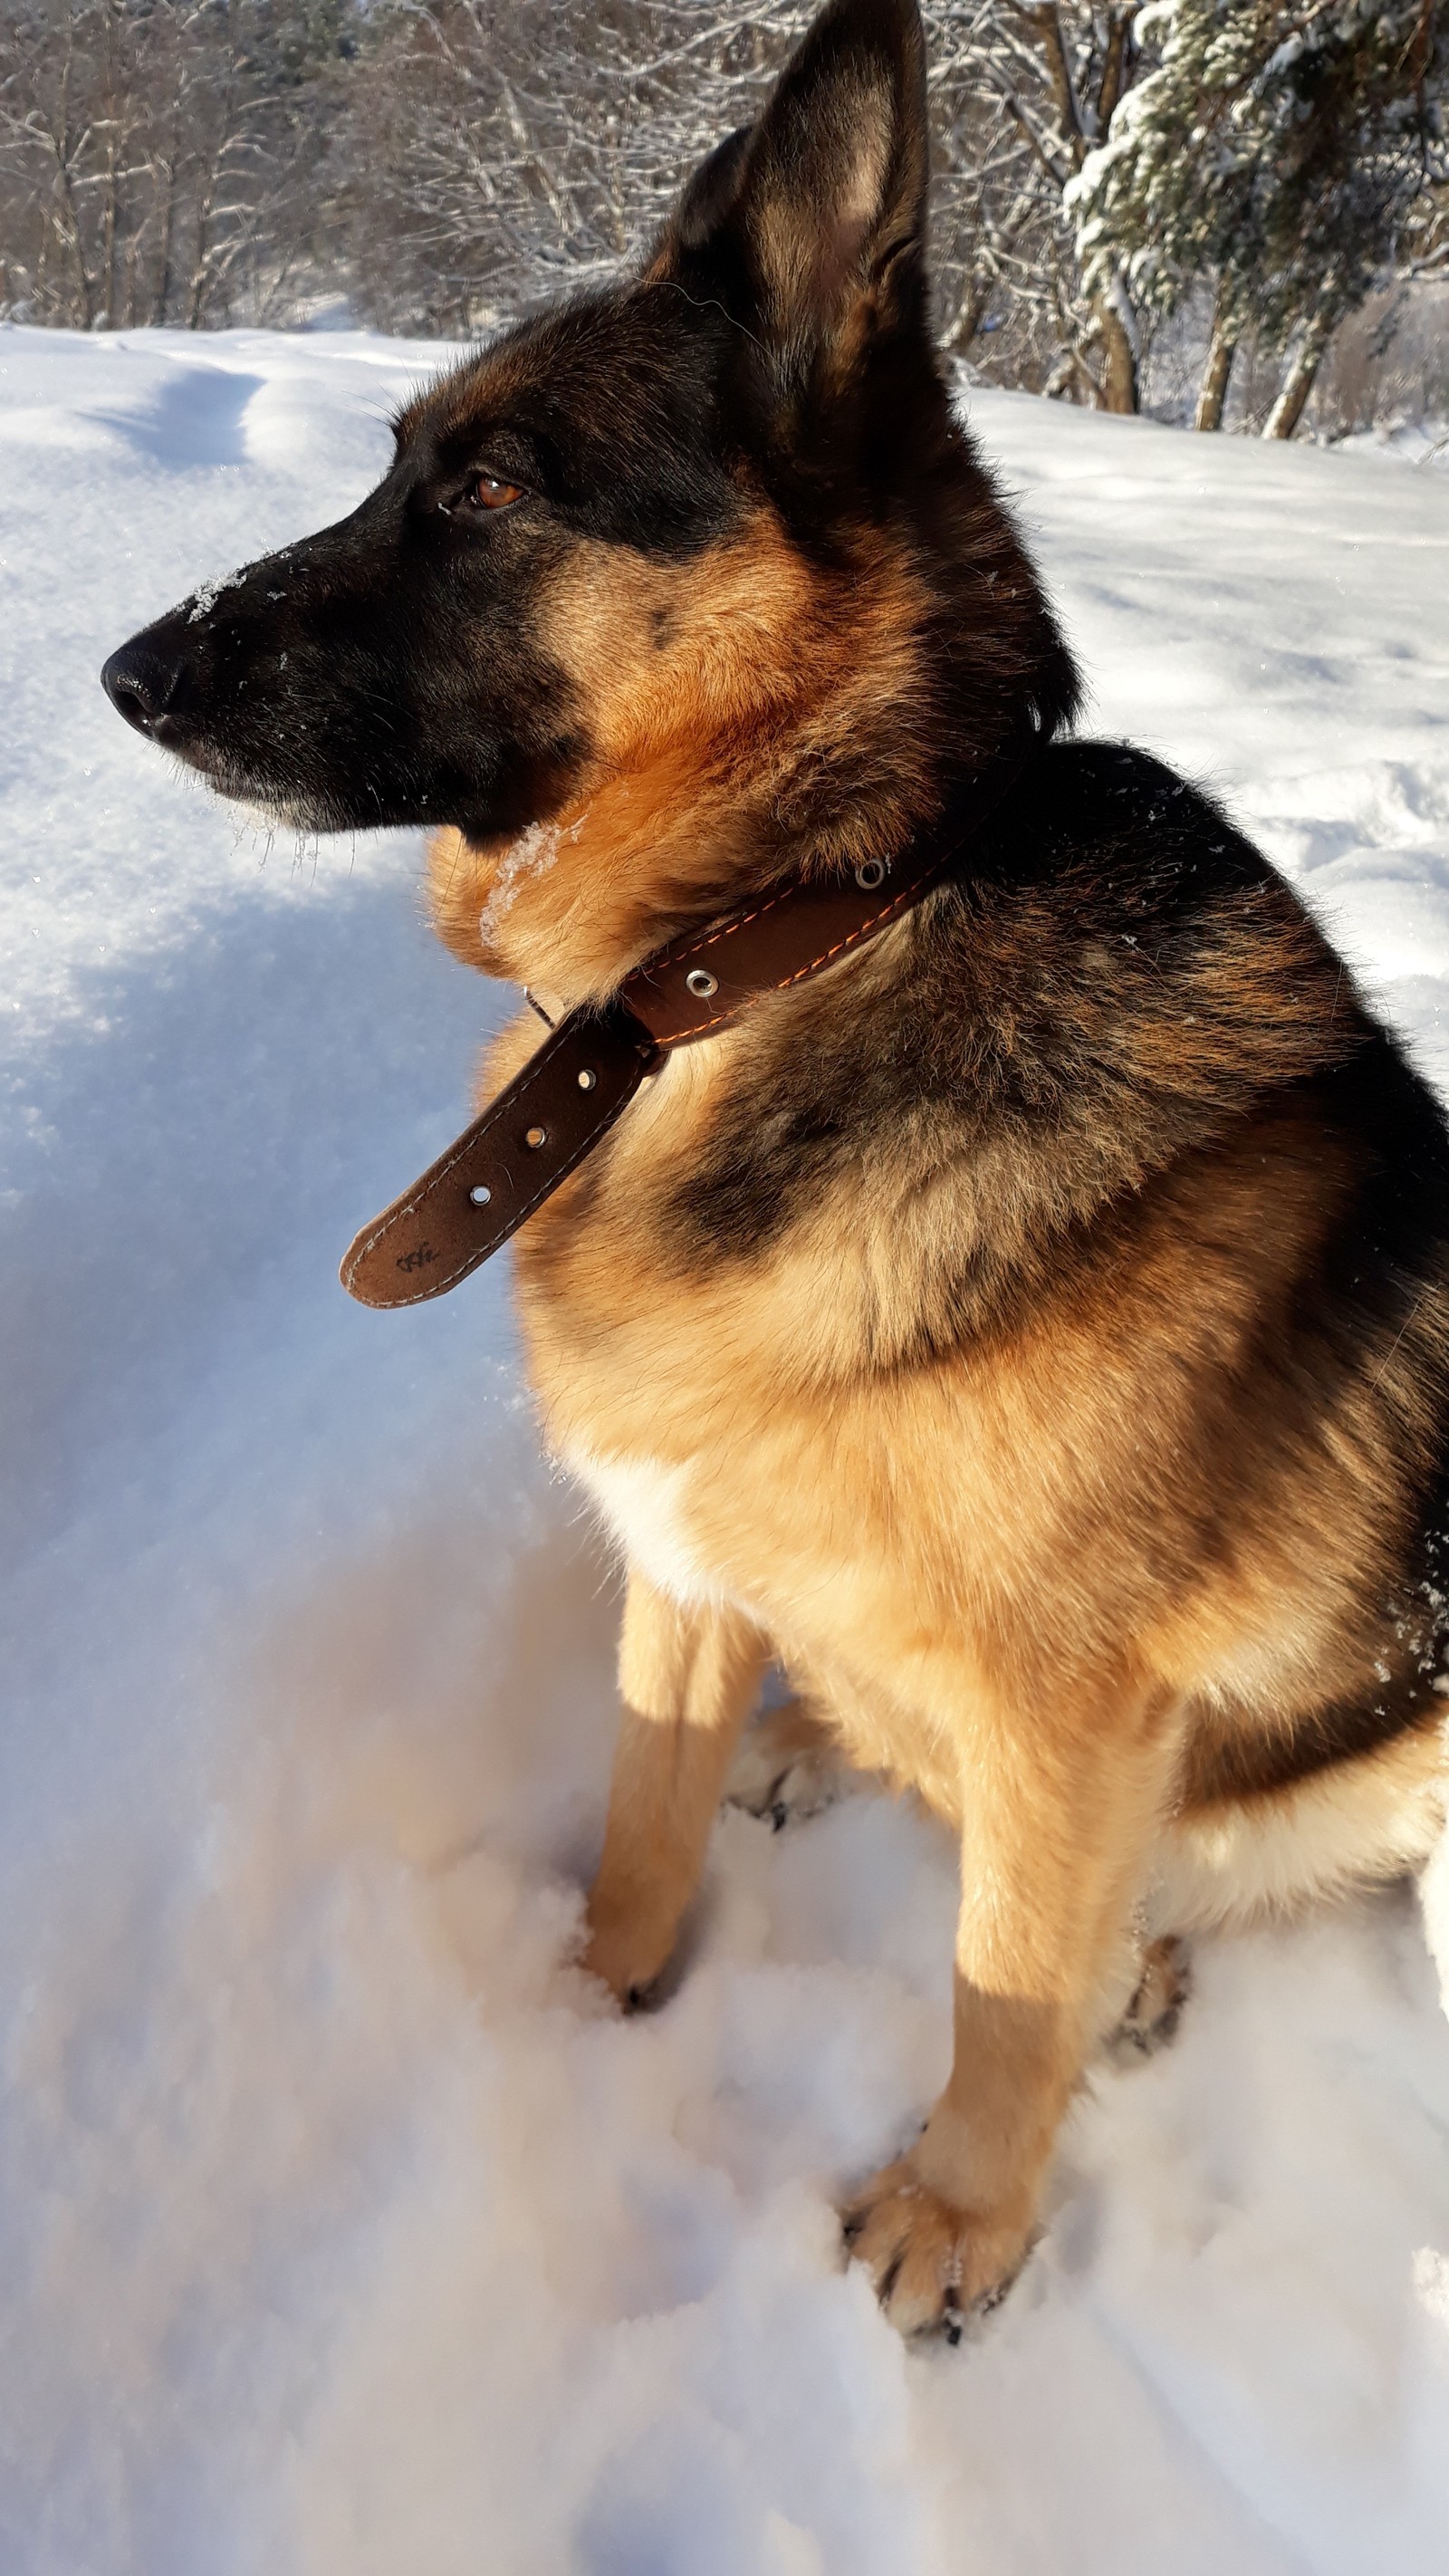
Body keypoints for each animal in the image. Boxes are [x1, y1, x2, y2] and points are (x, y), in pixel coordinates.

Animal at [101, 0, 1449, 2349]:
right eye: (394, 461)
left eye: (489, 487)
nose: (121, 670)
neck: (783, 935)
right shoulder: (676, 1563)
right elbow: (646, 1812)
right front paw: (593, 1988)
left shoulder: (1075, 1720)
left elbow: (999, 1990)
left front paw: (957, 2217)